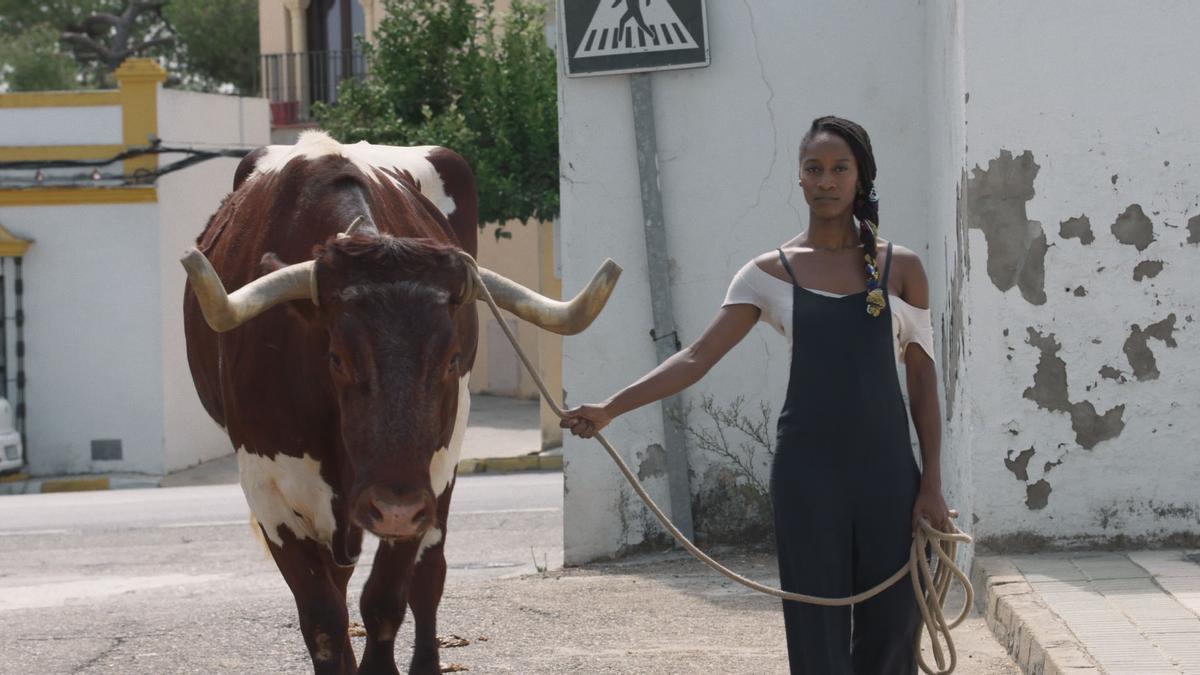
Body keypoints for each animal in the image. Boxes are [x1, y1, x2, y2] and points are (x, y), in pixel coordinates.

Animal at [182, 128, 624, 667]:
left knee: (429, 578)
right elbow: (323, 620)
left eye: (452, 361)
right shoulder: (270, 491)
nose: (392, 507)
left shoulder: (425, 479)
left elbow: (384, 603)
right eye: (337, 360)